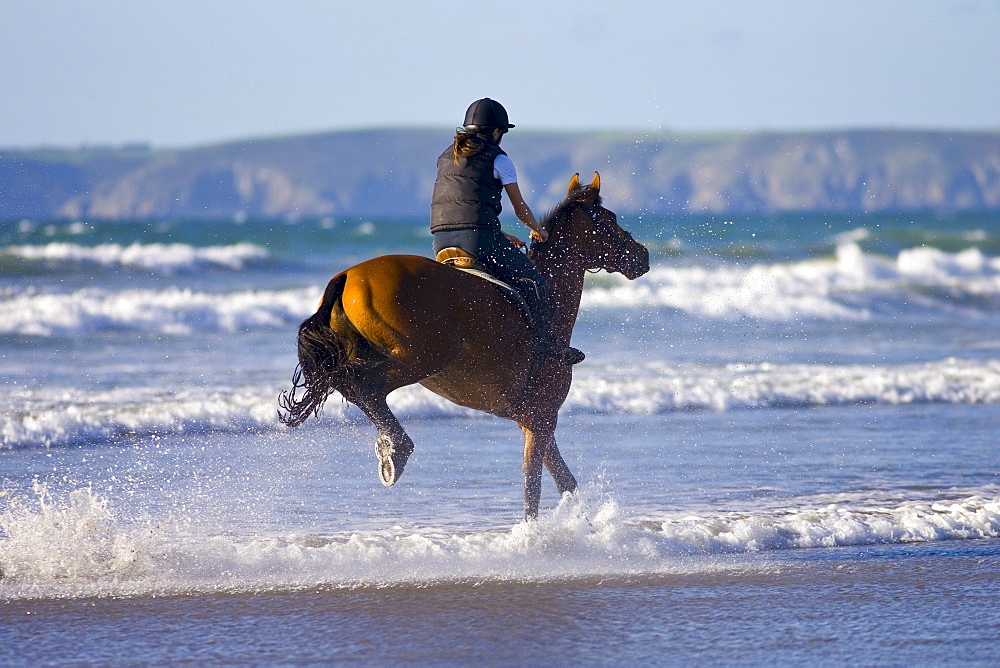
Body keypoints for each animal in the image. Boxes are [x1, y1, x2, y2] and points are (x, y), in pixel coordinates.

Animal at [278, 171, 652, 516]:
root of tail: (347, 276)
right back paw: (398, 449)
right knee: (362, 386)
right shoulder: (542, 418)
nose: (643, 255)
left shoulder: (533, 419)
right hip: (421, 358)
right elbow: (534, 489)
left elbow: (565, 484)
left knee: (350, 384)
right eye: (609, 220)